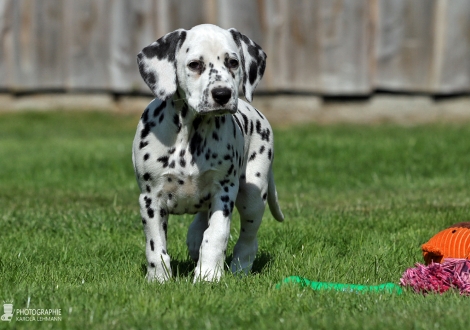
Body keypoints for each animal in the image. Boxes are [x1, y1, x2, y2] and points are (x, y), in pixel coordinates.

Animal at [134, 23, 284, 282]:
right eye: (195, 64)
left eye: (233, 62)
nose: (222, 94)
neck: (190, 133)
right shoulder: (150, 198)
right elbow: (155, 246)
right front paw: (158, 279)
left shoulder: (224, 192)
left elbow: (215, 236)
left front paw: (208, 276)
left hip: (253, 197)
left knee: (248, 240)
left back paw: (239, 269)